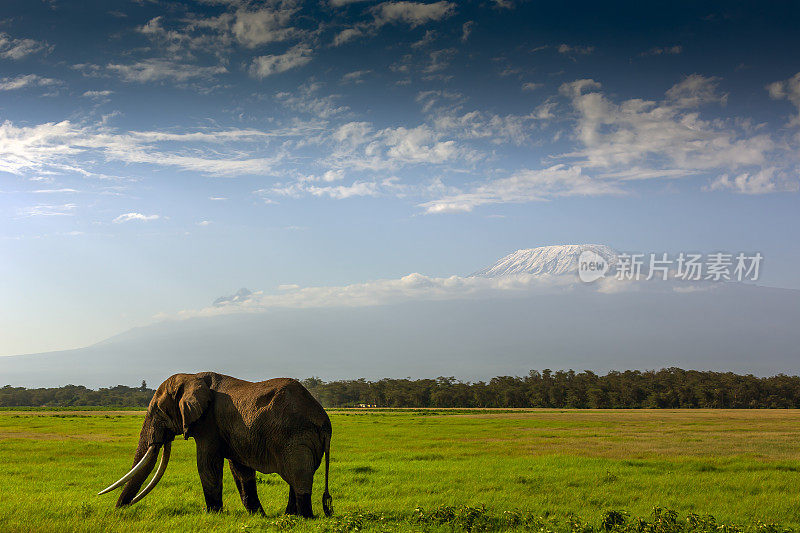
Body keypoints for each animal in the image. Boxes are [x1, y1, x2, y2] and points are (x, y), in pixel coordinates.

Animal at [98, 370, 332, 516]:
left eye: (159, 411)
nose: (118, 510)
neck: (192, 376)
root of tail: (324, 420)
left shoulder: (209, 424)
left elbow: (207, 464)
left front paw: (211, 513)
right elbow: (240, 470)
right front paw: (258, 516)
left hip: (297, 437)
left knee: (299, 475)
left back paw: (305, 518)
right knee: (297, 476)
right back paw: (289, 517)